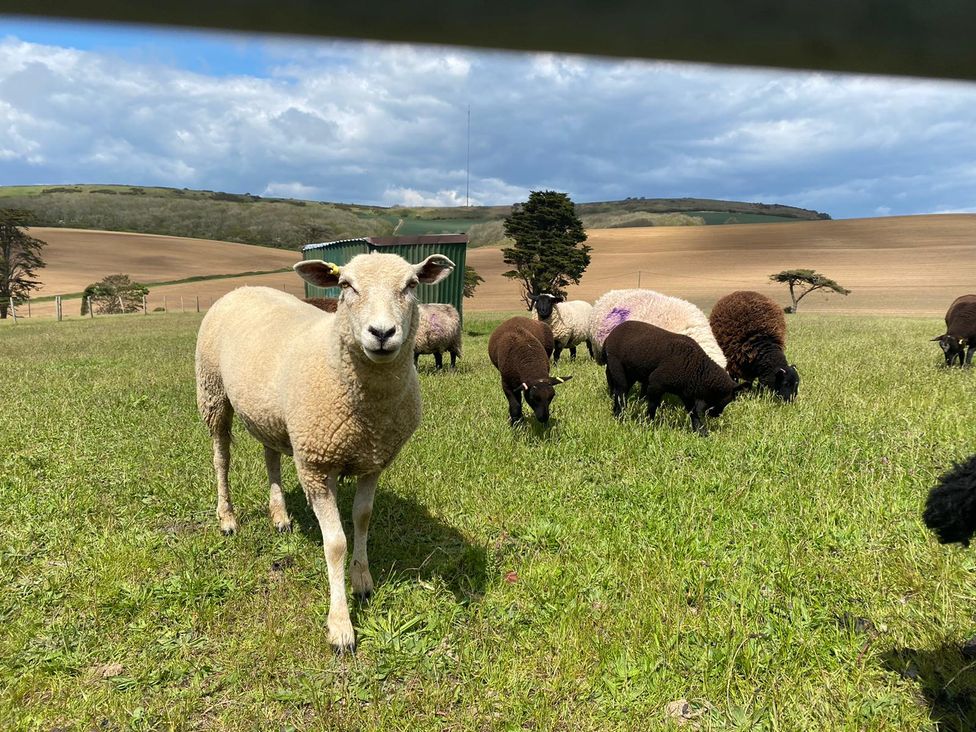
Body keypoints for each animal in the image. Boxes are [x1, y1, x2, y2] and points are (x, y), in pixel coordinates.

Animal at [195, 251, 455, 653]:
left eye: (411, 285)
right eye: (346, 285)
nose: (382, 334)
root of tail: (243, 287)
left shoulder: (372, 460)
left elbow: (362, 518)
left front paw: (362, 581)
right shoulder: (316, 466)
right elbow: (334, 543)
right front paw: (341, 625)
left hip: (272, 416)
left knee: (271, 457)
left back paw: (280, 516)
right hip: (212, 392)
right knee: (221, 458)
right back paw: (227, 519)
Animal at [604, 320, 748, 436]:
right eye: (727, 399)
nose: (716, 415)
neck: (698, 370)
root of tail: (612, 333)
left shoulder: (686, 393)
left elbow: (693, 412)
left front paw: (701, 432)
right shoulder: (655, 383)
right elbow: (652, 406)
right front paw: (648, 424)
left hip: (631, 372)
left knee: (619, 393)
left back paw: (616, 414)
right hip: (616, 364)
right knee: (621, 392)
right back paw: (620, 416)